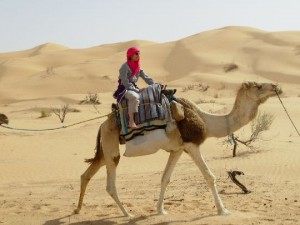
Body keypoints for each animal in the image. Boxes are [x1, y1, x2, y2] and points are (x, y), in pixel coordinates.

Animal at [74, 81, 282, 217]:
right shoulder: (192, 144)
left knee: (87, 174)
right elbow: (209, 176)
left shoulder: (178, 149)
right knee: (110, 183)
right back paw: (127, 214)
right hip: (111, 144)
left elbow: (165, 178)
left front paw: (161, 210)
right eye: (258, 86)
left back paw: (77, 209)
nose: (276, 86)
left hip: (106, 147)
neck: (207, 121)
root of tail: (102, 124)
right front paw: (223, 210)